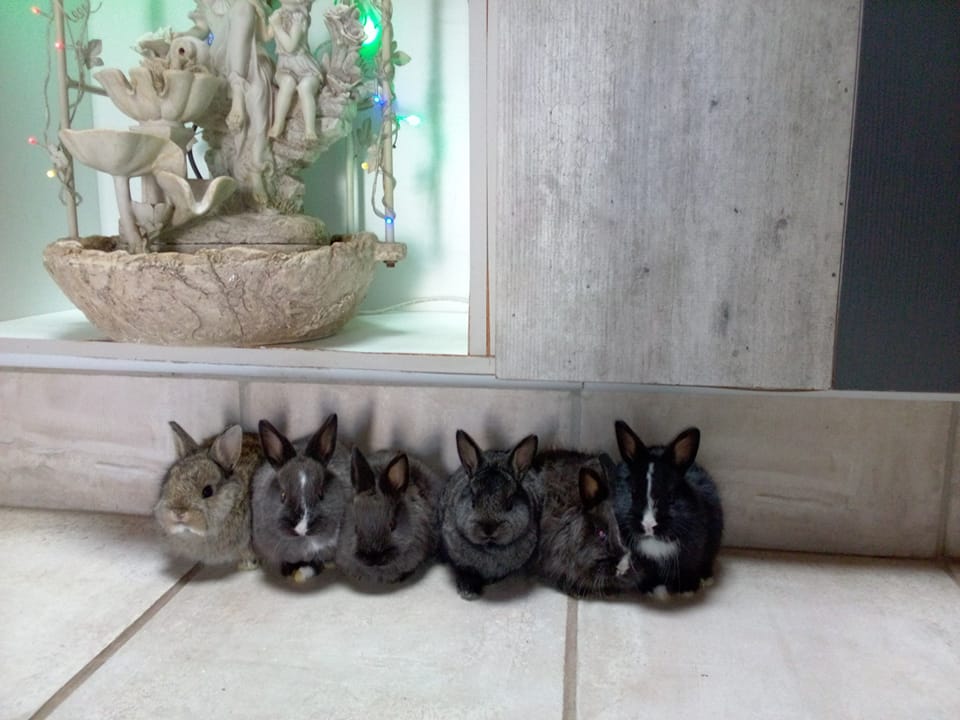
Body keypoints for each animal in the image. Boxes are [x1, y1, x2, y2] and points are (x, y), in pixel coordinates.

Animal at [251, 414, 352, 583]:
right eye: (283, 495)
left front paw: (306, 571)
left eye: (321, 493)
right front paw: (287, 571)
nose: (302, 528)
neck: (303, 542)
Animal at [613, 420, 724, 597]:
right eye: (633, 493)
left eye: (670, 496)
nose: (648, 525)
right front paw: (650, 589)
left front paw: (686, 590)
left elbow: (688, 571)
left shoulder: (691, 557)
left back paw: (706, 579)